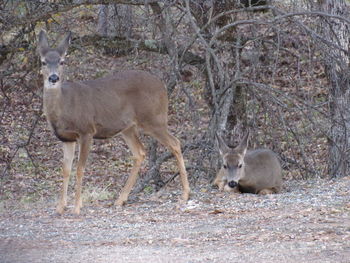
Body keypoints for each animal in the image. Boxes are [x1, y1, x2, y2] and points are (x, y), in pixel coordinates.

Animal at [37, 31, 190, 216]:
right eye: (43, 62)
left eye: (62, 61)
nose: (53, 78)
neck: (64, 108)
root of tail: (162, 85)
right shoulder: (66, 138)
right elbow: (65, 169)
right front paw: (60, 207)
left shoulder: (87, 130)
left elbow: (80, 168)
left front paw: (77, 207)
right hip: (128, 127)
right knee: (140, 152)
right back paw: (120, 199)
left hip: (154, 119)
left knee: (175, 143)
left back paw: (185, 194)